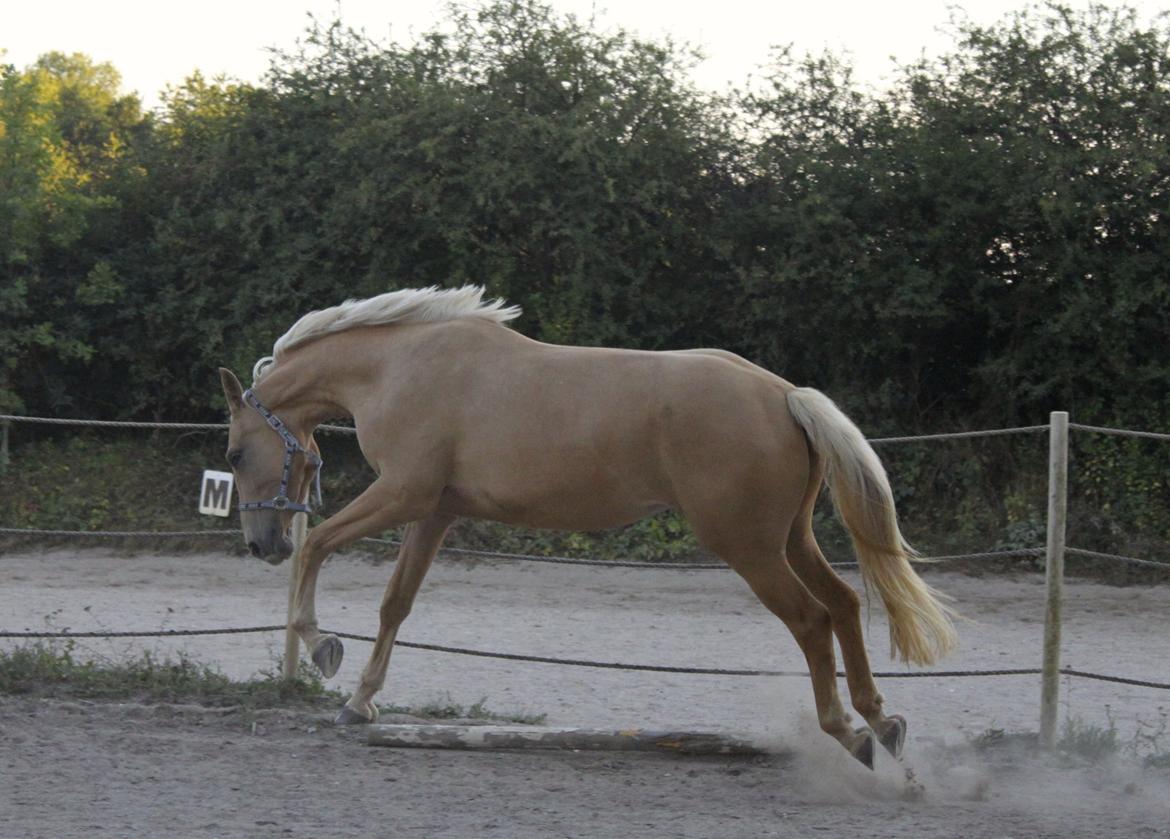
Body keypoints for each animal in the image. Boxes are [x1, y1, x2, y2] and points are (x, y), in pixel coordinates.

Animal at [215, 283, 954, 767]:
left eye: (234, 453)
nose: (262, 544)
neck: (401, 365)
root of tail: (784, 395)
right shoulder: (435, 511)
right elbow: (396, 603)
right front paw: (361, 701)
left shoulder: (402, 493)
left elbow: (323, 546)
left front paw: (322, 648)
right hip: (789, 539)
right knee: (846, 603)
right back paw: (882, 720)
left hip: (748, 547)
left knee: (811, 619)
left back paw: (850, 732)